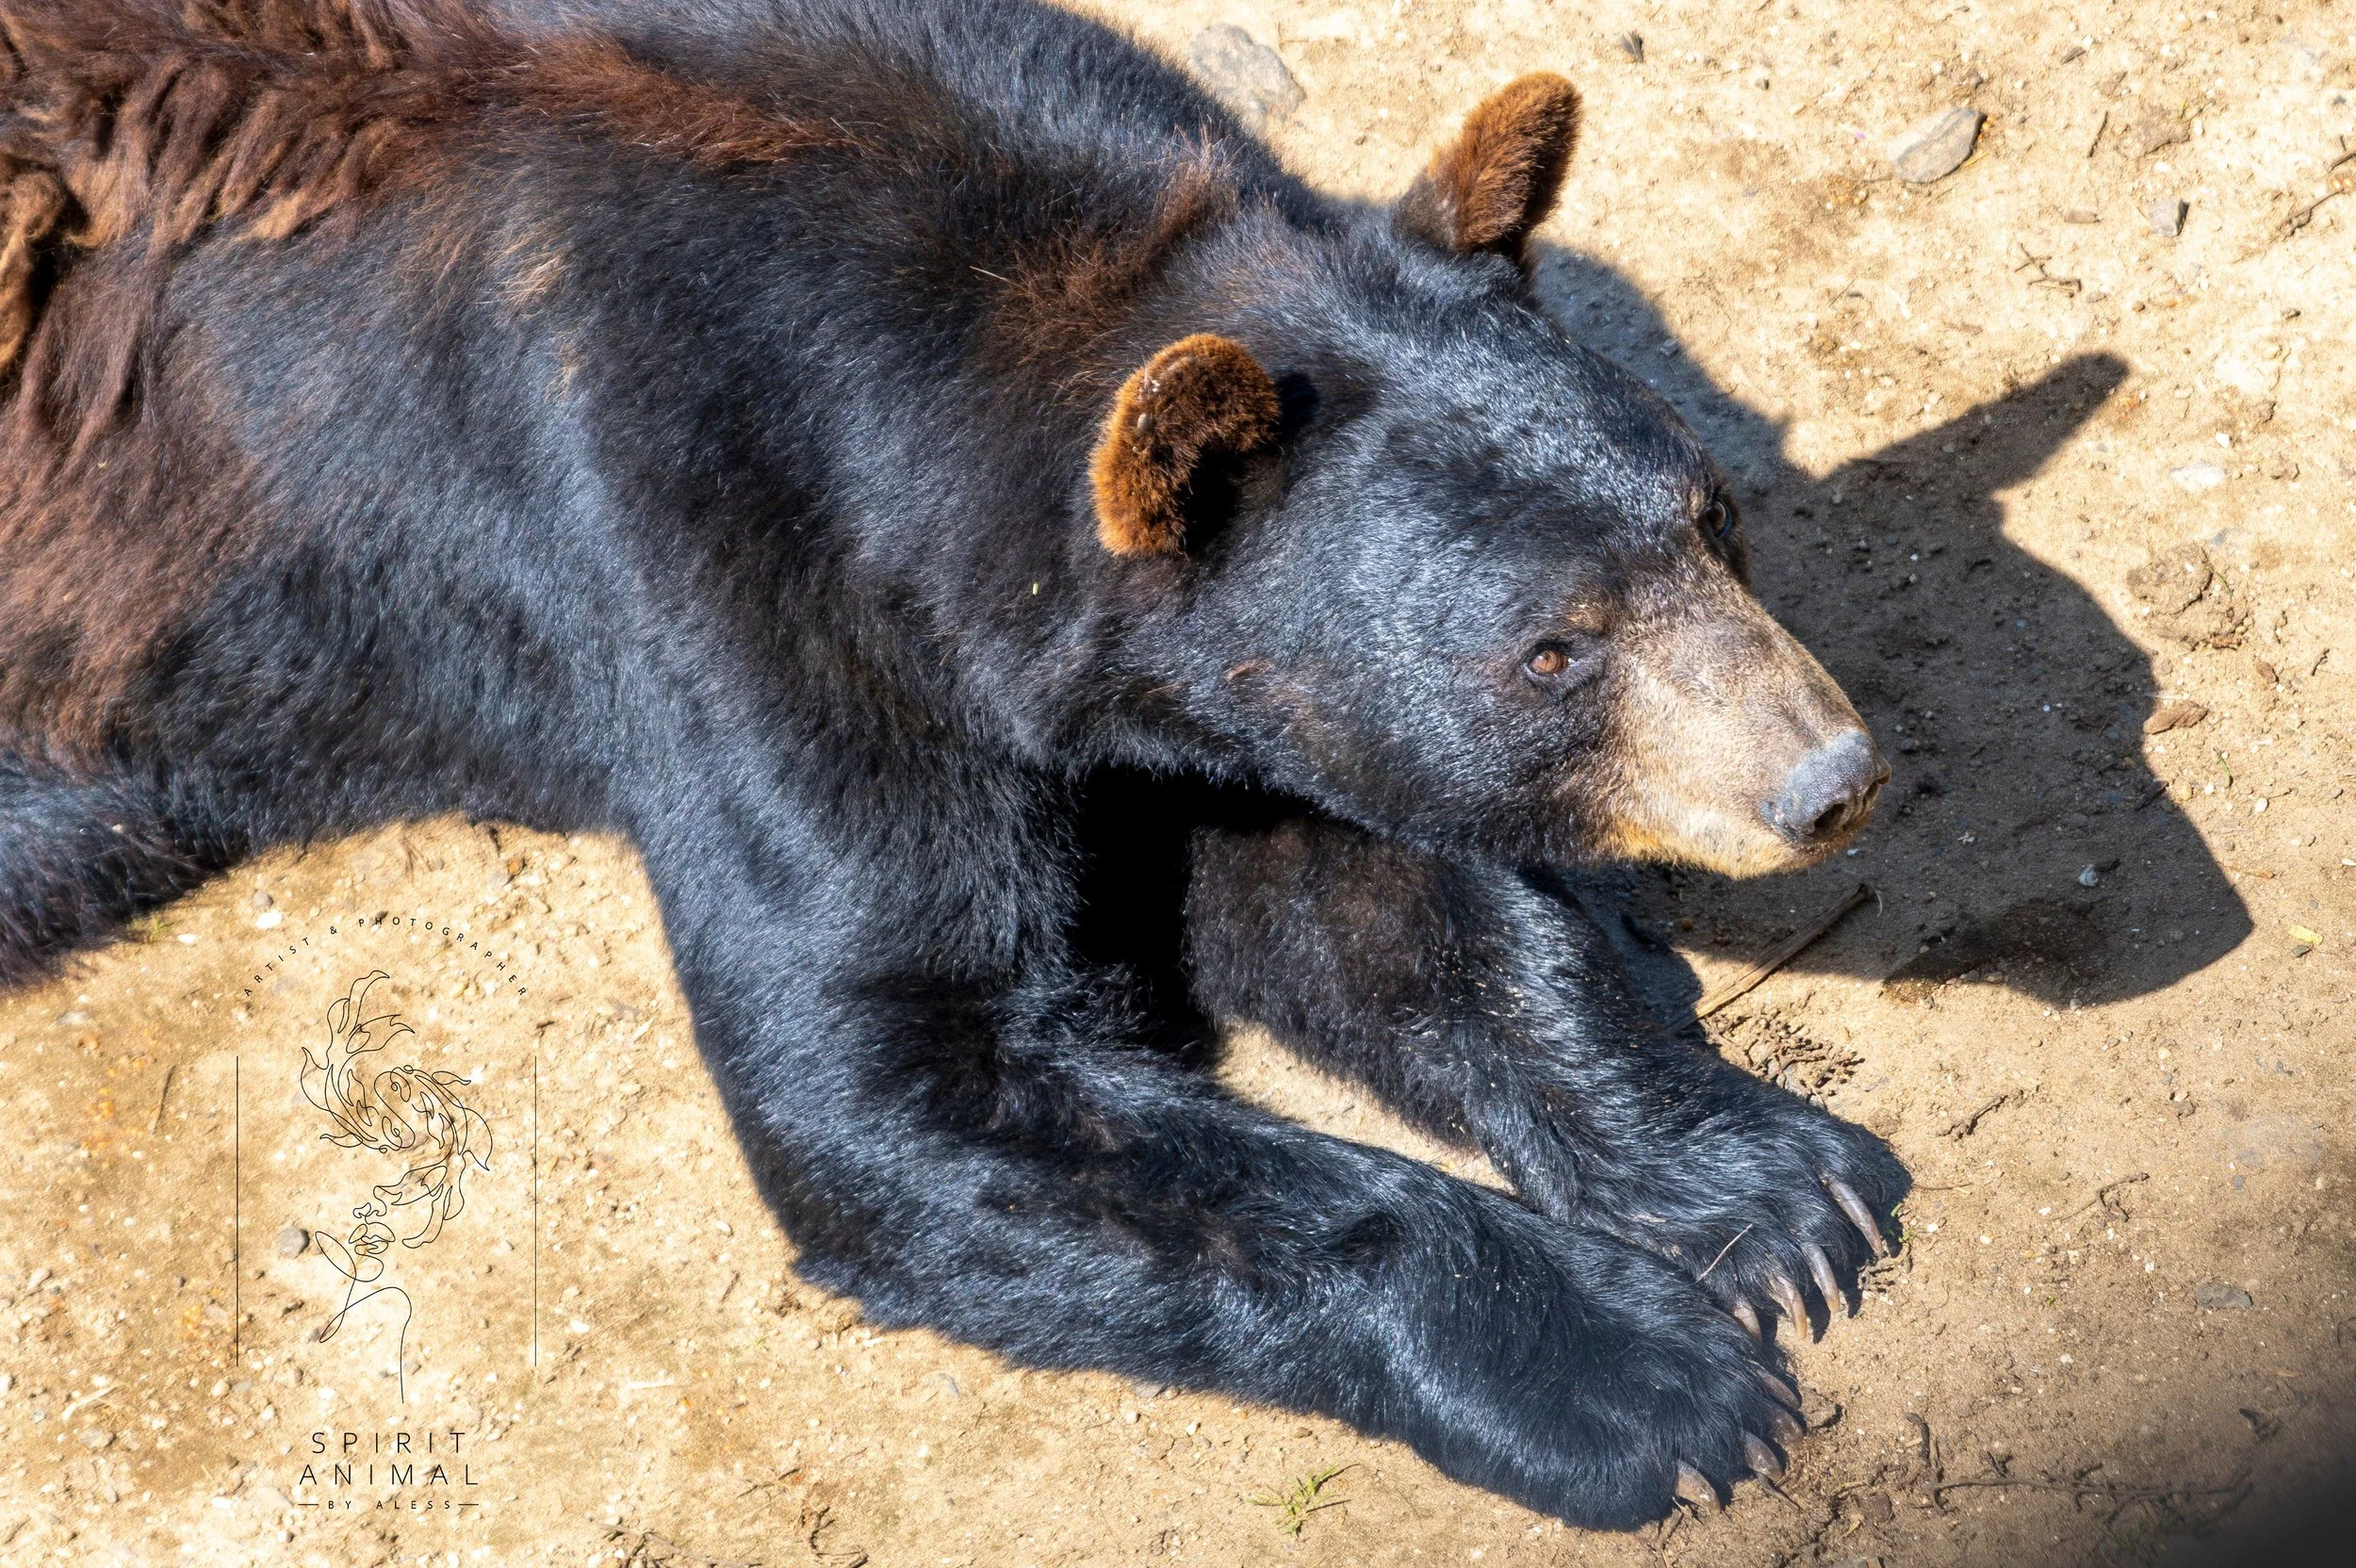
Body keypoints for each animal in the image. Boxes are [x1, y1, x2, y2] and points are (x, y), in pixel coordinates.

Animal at [0, 0, 1906, 1529]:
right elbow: (914, 1066)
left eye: (1709, 514)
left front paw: (1764, 1183)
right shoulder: (699, 549)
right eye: (1550, 649)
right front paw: (1642, 1373)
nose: (1826, 777)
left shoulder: (1173, 682)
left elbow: (1373, 880)